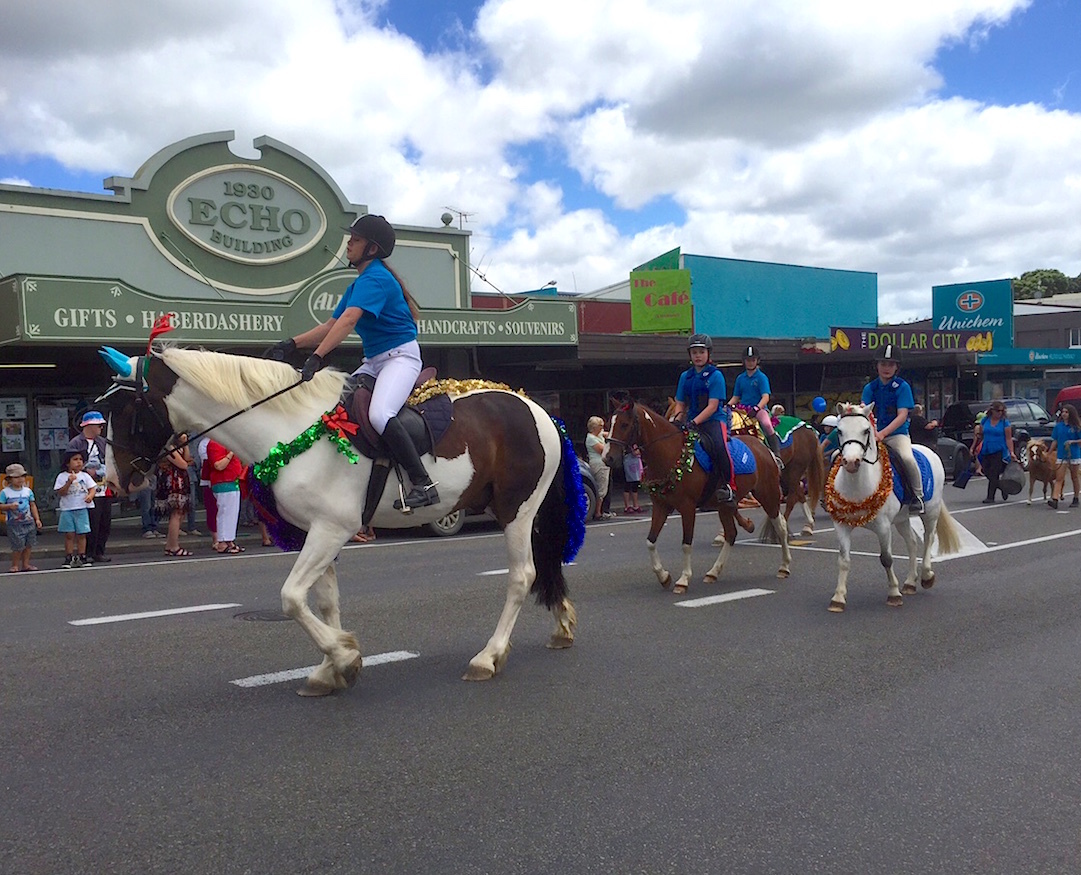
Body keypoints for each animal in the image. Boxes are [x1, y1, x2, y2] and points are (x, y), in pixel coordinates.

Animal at [100, 343, 588, 692]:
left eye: (127, 410)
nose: (117, 480)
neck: (290, 429)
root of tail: (538, 408)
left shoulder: (330, 531)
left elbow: (291, 598)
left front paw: (344, 654)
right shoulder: (317, 533)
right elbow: (322, 601)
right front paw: (331, 669)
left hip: (517, 510)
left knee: (522, 576)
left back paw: (488, 656)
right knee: (543, 566)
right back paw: (562, 627)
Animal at [609, 400, 795, 592]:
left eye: (624, 424)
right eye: (610, 423)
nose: (608, 458)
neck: (672, 454)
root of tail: (765, 449)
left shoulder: (687, 507)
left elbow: (686, 543)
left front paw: (683, 579)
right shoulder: (661, 506)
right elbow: (650, 541)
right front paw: (663, 576)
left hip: (768, 494)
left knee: (780, 526)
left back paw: (784, 566)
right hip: (725, 506)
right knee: (731, 534)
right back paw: (713, 572)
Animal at [825, 400, 964, 610]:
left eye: (866, 430)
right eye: (839, 431)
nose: (850, 462)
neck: (858, 486)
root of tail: (929, 451)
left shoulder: (883, 527)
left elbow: (886, 559)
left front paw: (893, 594)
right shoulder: (841, 525)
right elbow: (843, 560)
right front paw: (838, 598)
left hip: (931, 512)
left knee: (929, 539)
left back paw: (926, 576)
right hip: (902, 519)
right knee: (912, 543)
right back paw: (910, 583)